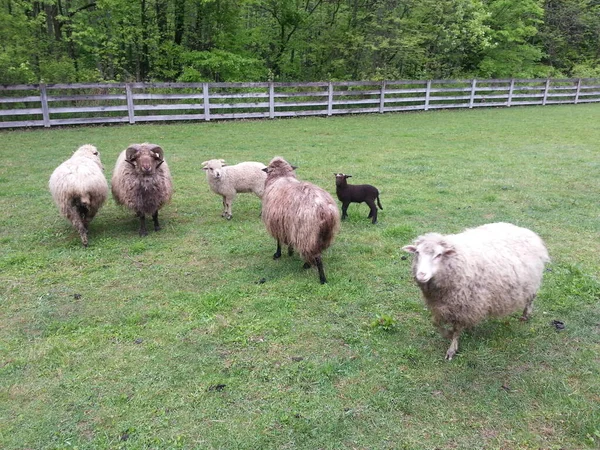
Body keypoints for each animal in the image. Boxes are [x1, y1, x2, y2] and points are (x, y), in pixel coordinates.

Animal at [400, 223, 552, 360]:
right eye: (417, 253)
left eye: (439, 255)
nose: (421, 275)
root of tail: (525, 230)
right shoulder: (440, 305)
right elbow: (436, 324)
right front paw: (448, 333)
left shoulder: (464, 305)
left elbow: (456, 329)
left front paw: (452, 347)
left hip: (532, 281)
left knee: (531, 298)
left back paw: (525, 315)